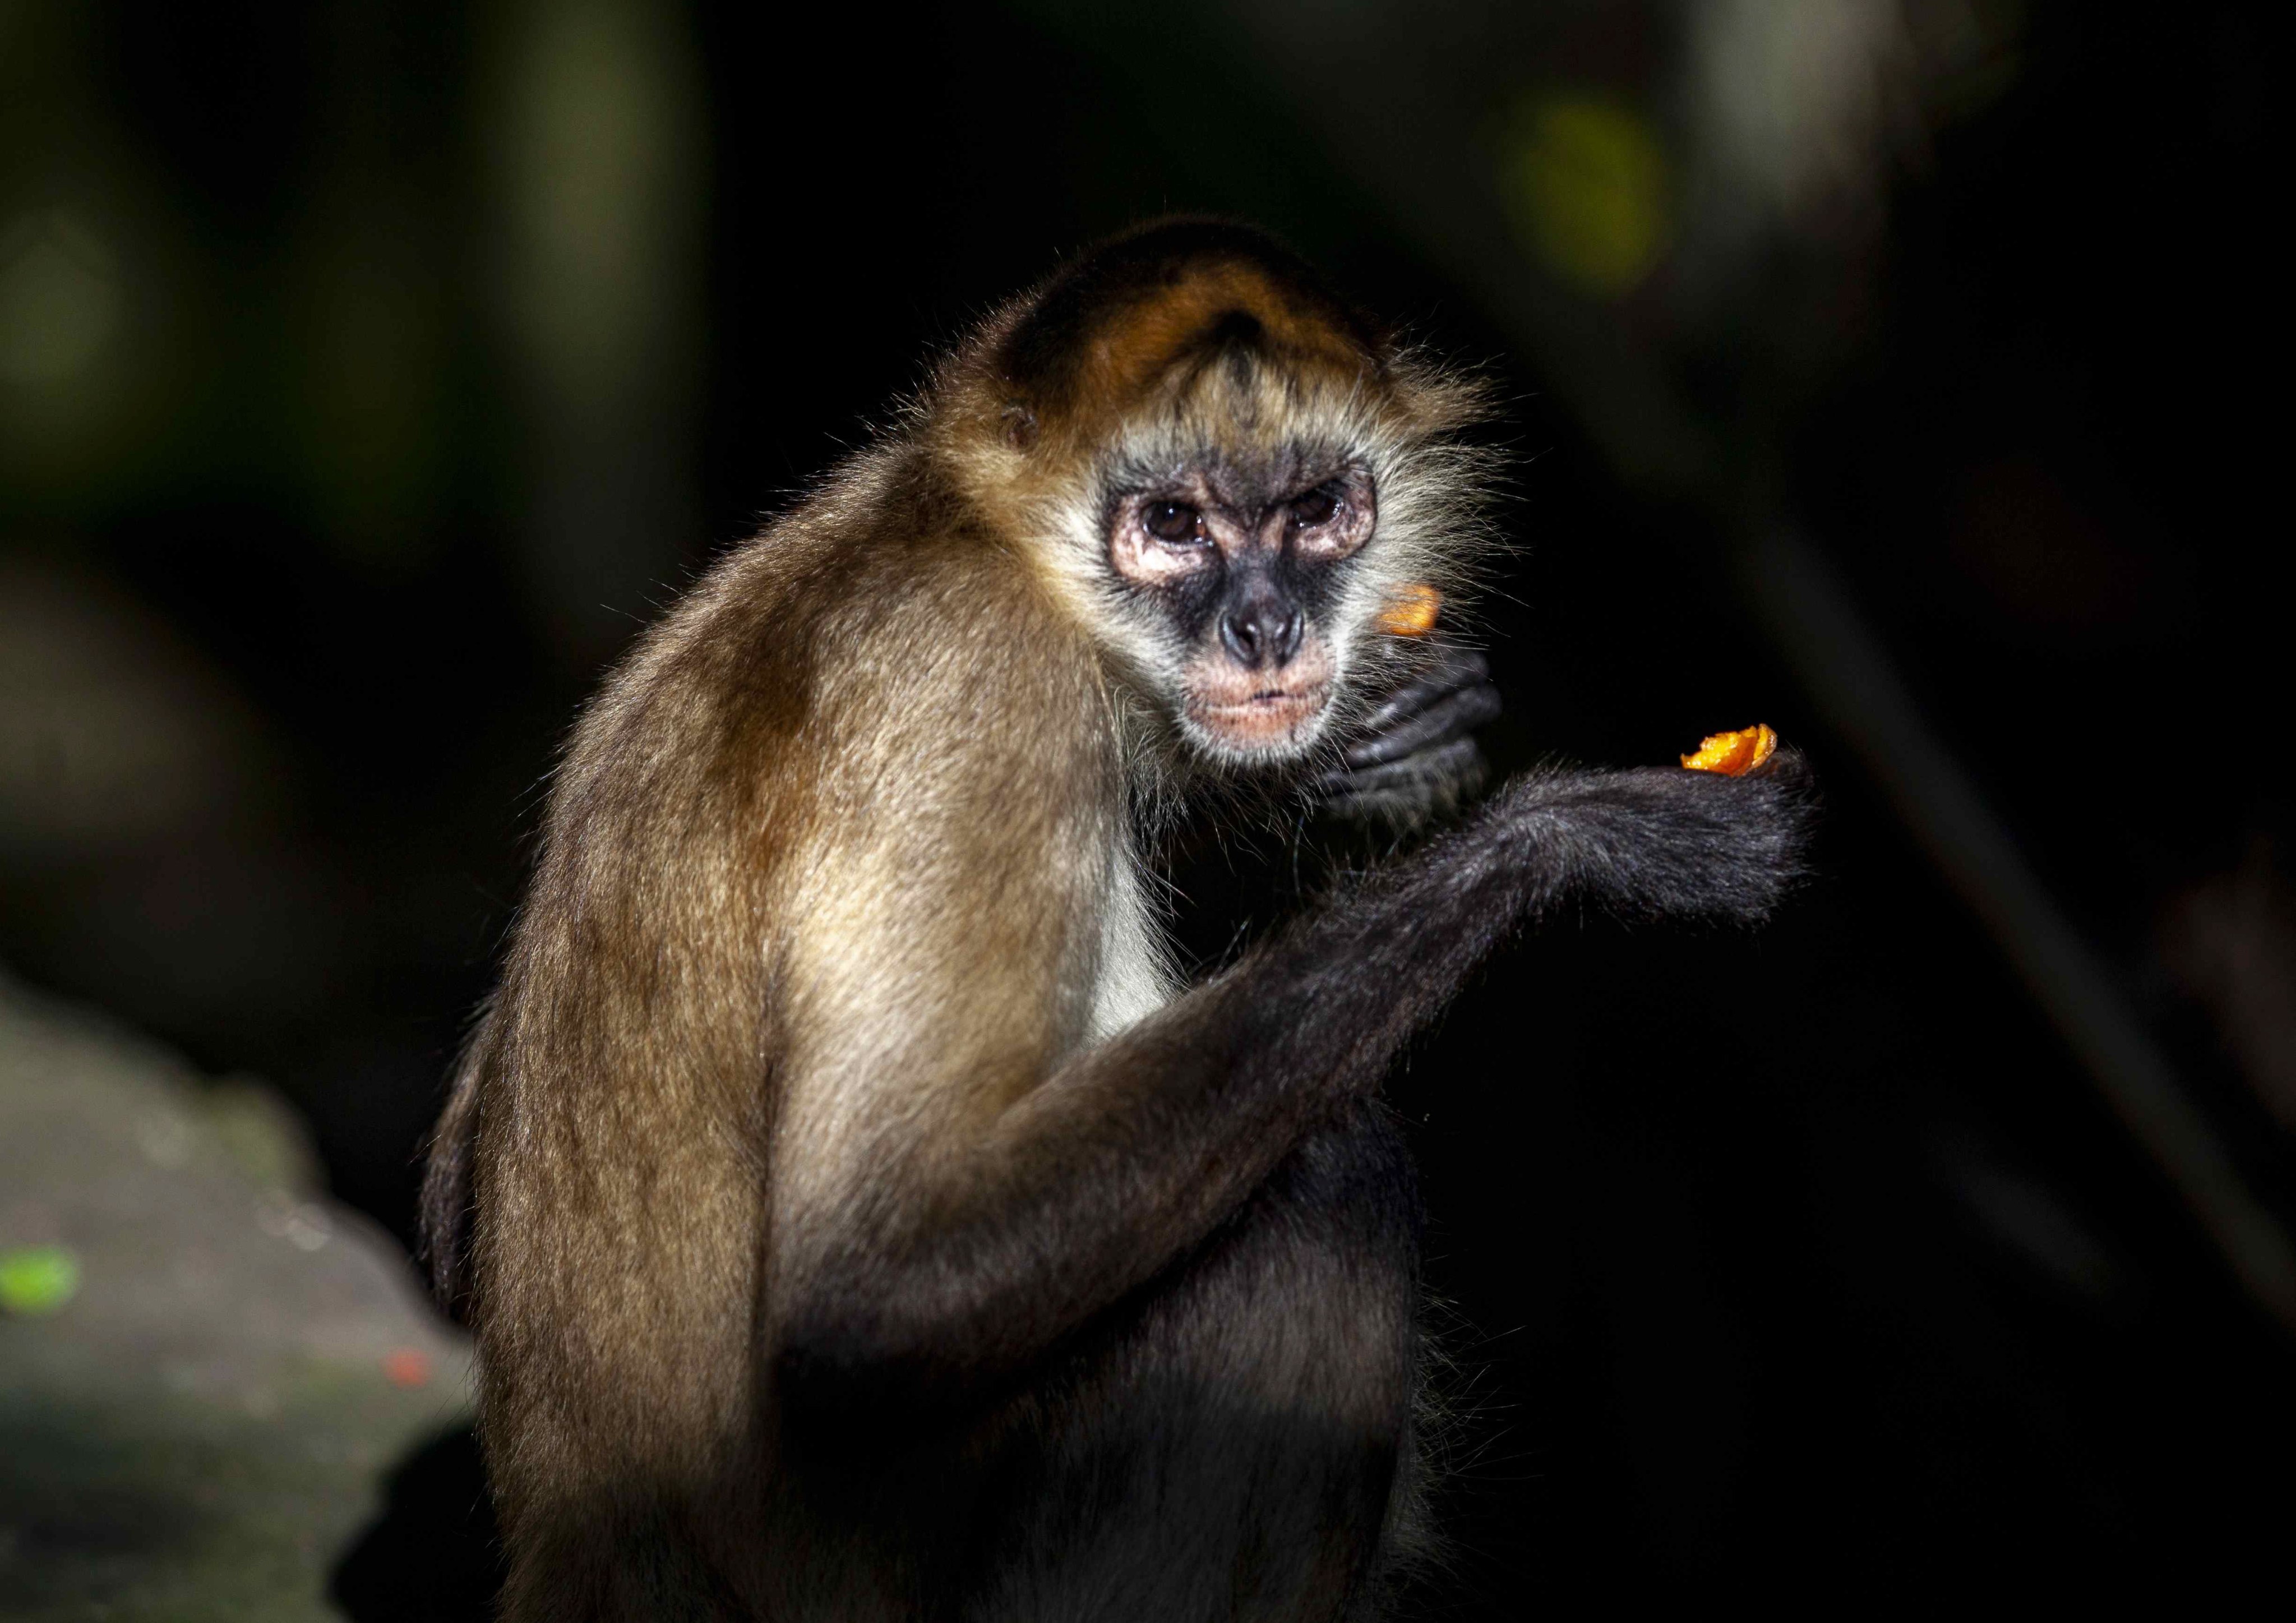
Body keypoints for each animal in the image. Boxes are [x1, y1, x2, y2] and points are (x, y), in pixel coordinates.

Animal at [422, 219, 1800, 1623]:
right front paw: (1574, 837)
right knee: (1328, 1198)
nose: (1266, 627)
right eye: (1173, 527)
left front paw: (1379, 748)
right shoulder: (975, 681)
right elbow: (871, 1293)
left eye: (1316, 513)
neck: (953, 534)